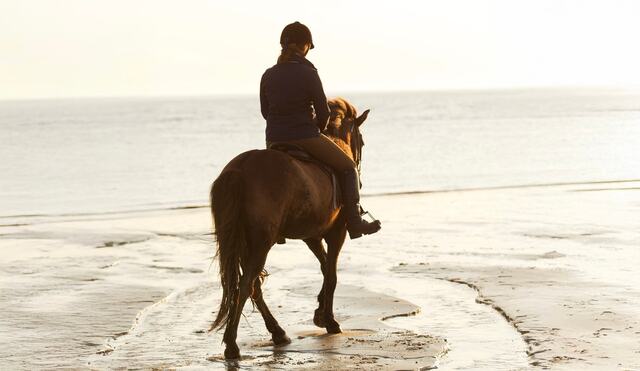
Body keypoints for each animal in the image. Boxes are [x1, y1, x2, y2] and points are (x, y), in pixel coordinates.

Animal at [210, 97, 370, 358]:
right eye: (362, 141)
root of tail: (241, 167)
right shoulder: (337, 233)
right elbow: (332, 274)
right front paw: (329, 320)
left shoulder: (311, 236)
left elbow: (325, 268)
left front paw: (320, 313)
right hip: (260, 244)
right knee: (246, 285)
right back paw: (232, 344)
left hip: (243, 243)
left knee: (253, 286)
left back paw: (277, 332)